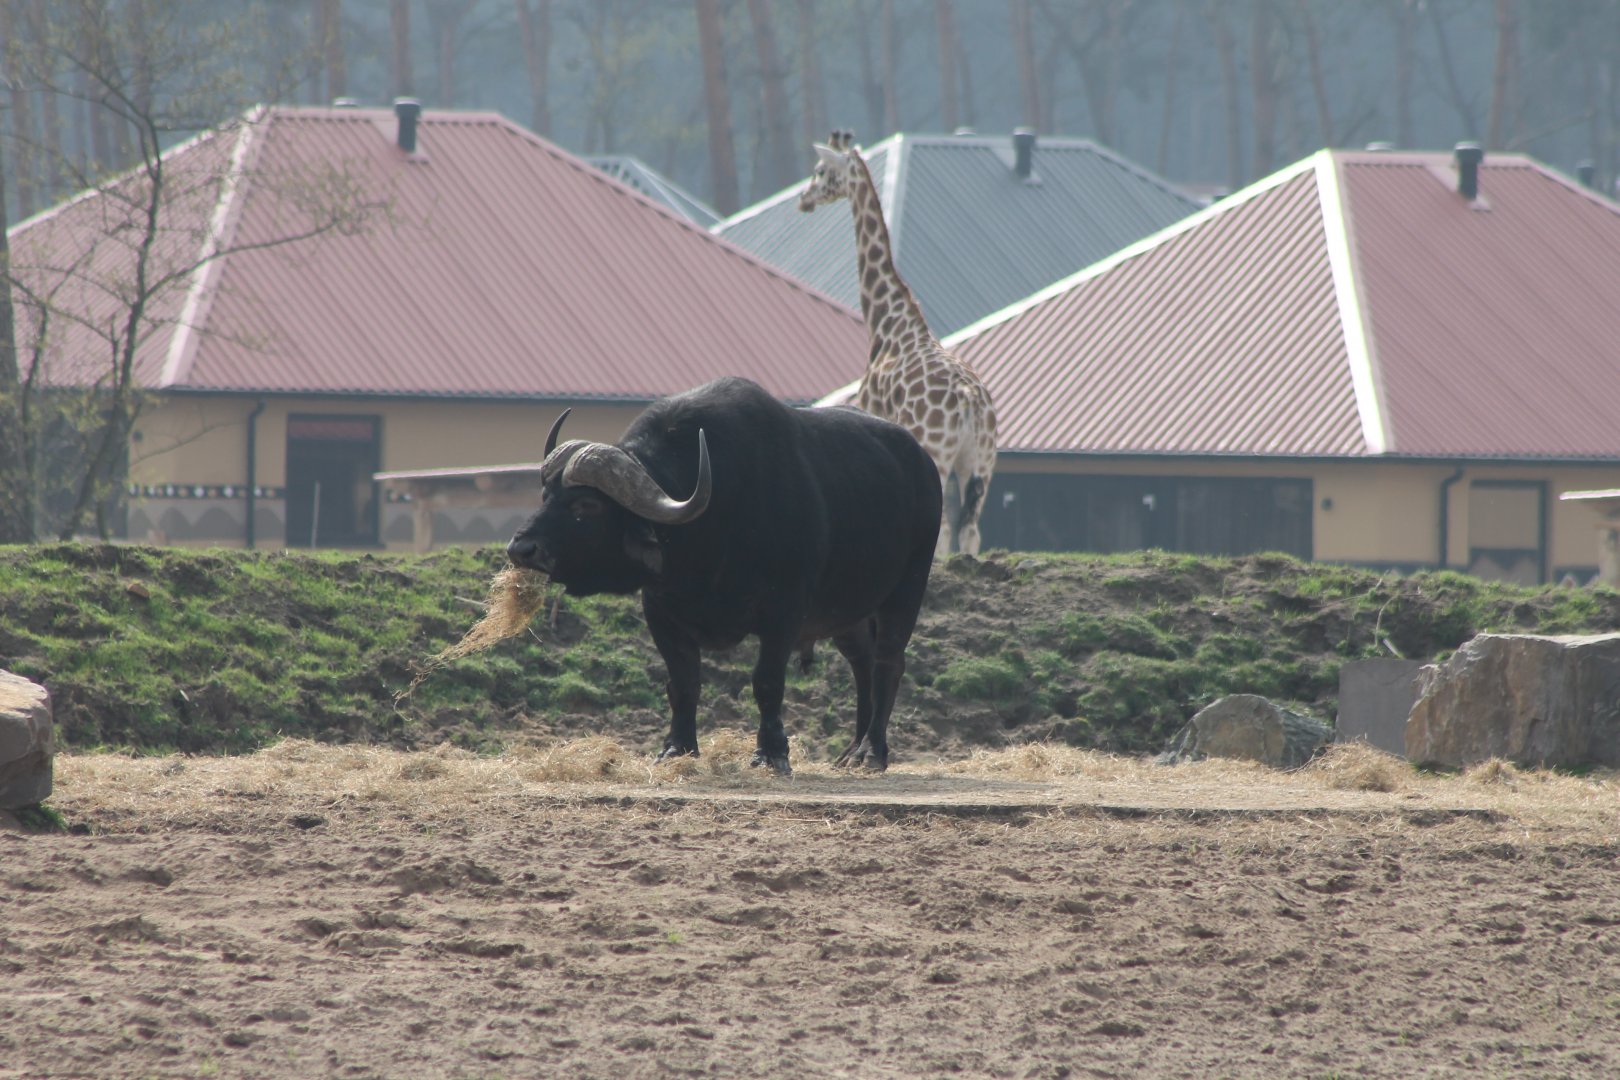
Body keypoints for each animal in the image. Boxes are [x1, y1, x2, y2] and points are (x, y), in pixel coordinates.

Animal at [506, 376, 941, 773]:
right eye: (546, 496)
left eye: (586, 504)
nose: (521, 549)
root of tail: (923, 464)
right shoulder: (660, 611)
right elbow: (682, 683)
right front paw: (676, 748)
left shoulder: (784, 611)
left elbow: (767, 683)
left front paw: (771, 753)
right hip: (848, 613)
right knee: (862, 664)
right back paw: (852, 749)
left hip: (907, 587)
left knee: (888, 662)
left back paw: (872, 752)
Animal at [798, 129, 998, 558]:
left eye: (820, 170)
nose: (803, 199)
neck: (888, 322)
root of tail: (971, 402)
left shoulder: (873, 413)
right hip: (981, 463)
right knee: (970, 533)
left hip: (937, 452)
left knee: (942, 531)